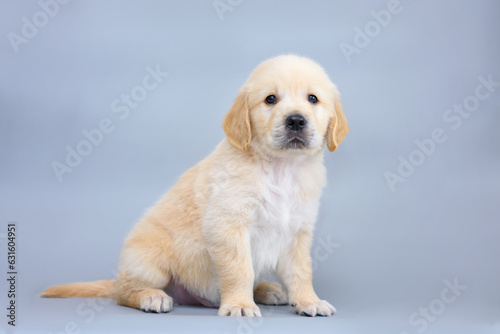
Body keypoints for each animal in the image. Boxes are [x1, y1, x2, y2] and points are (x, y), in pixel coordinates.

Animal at [41, 53, 350, 318]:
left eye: (313, 99)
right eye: (270, 99)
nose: (296, 120)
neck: (280, 168)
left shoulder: (298, 232)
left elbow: (301, 272)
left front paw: (308, 301)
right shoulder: (228, 225)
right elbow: (241, 270)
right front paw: (239, 305)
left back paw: (266, 290)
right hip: (150, 264)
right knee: (122, 292)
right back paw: (151, 296)